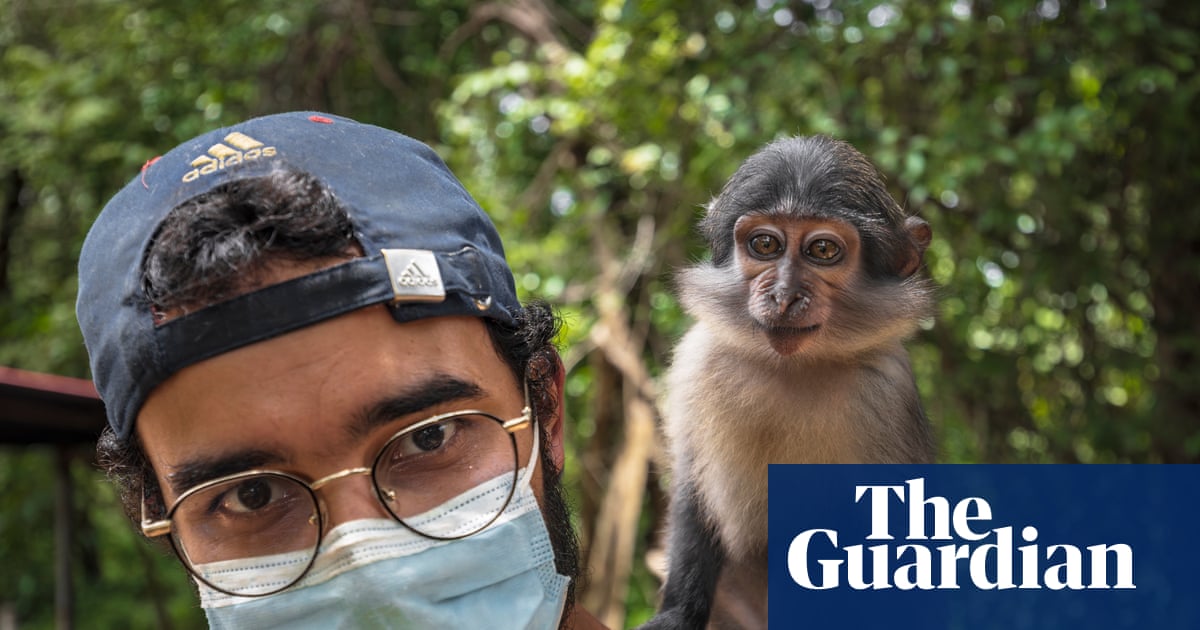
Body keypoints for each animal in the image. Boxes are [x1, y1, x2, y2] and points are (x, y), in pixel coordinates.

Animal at [642, 136, 935, 629]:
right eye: (765, 243)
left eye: (823, 251)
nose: (783, 295)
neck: (791, 367)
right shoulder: (698, 357)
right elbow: (690, 489)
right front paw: (678, 615)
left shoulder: (887, 390)